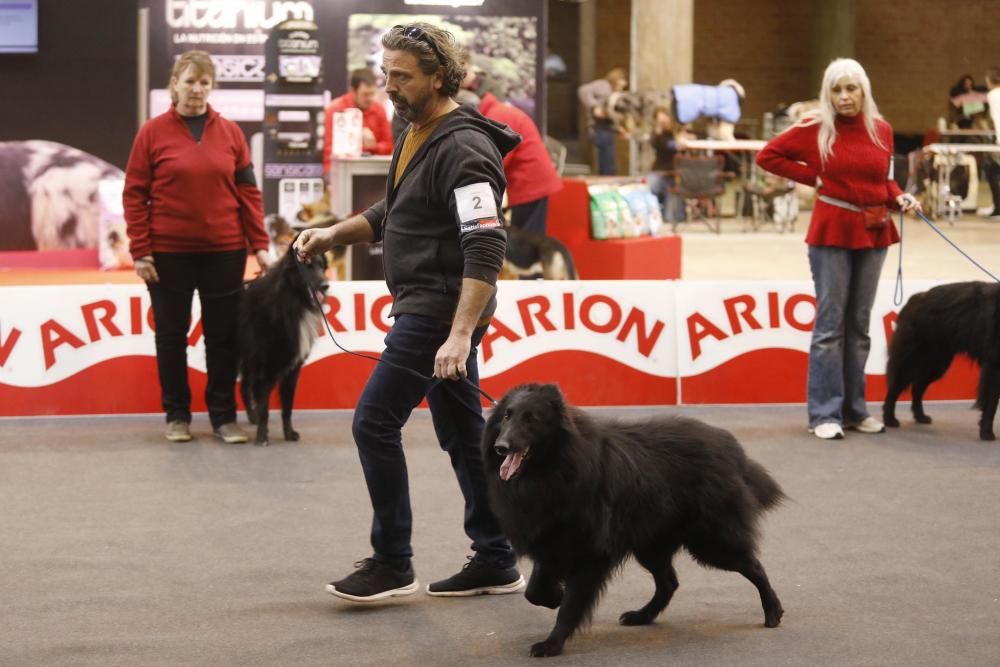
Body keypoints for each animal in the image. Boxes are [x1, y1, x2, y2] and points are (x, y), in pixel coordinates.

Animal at [238, 247, 328, 448]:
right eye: (308, 266)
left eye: (321, 267)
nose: (326, 285)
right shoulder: (267, 367)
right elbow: (264, 405)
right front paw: (262, 436)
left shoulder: (293, 369)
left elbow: (287, 406)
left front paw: (289, 433)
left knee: (245, 386)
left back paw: (252, 416)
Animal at [484, 384, 788, 660]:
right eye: (507, 416)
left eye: (532, 418)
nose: (501, 447)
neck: (557, 468)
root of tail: (729, 446)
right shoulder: (550, 542)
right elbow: (534, 591)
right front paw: (554, 596)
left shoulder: (587, 554)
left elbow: (570, 605)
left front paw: (553, 642)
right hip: (651, 545)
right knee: (669, 583)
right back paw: (643, 615)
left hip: (711, 543)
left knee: (754, 567)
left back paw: (773, 611)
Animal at [884, 280, 1000, 440]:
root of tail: (913, 300)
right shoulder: (994, 365)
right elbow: (991, 402)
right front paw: (986, 432)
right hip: (916, 360)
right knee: (896, 386)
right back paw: (889, 418)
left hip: (936, 364)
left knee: (917, 388)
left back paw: (920, 416)